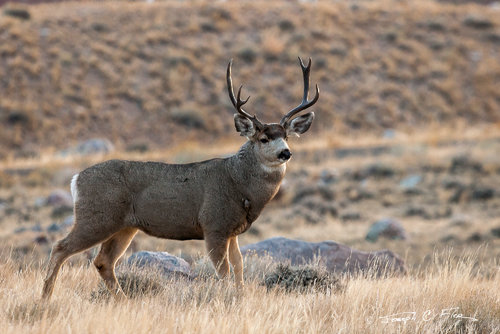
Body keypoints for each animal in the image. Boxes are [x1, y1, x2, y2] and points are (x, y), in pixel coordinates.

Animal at [41, 57, 318, 300]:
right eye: (264, 138)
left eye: (287, 136)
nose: (285, 152)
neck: (238, 183)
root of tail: (76, 179)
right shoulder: (213, 224)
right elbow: (224, 272)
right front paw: (228, 300)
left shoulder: (233, 231)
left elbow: (239, 268)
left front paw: (241, 300)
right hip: (97, 217)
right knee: (60, 248)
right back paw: (45, 298)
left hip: (124, 225)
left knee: (103, 261)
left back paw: (124, 302)